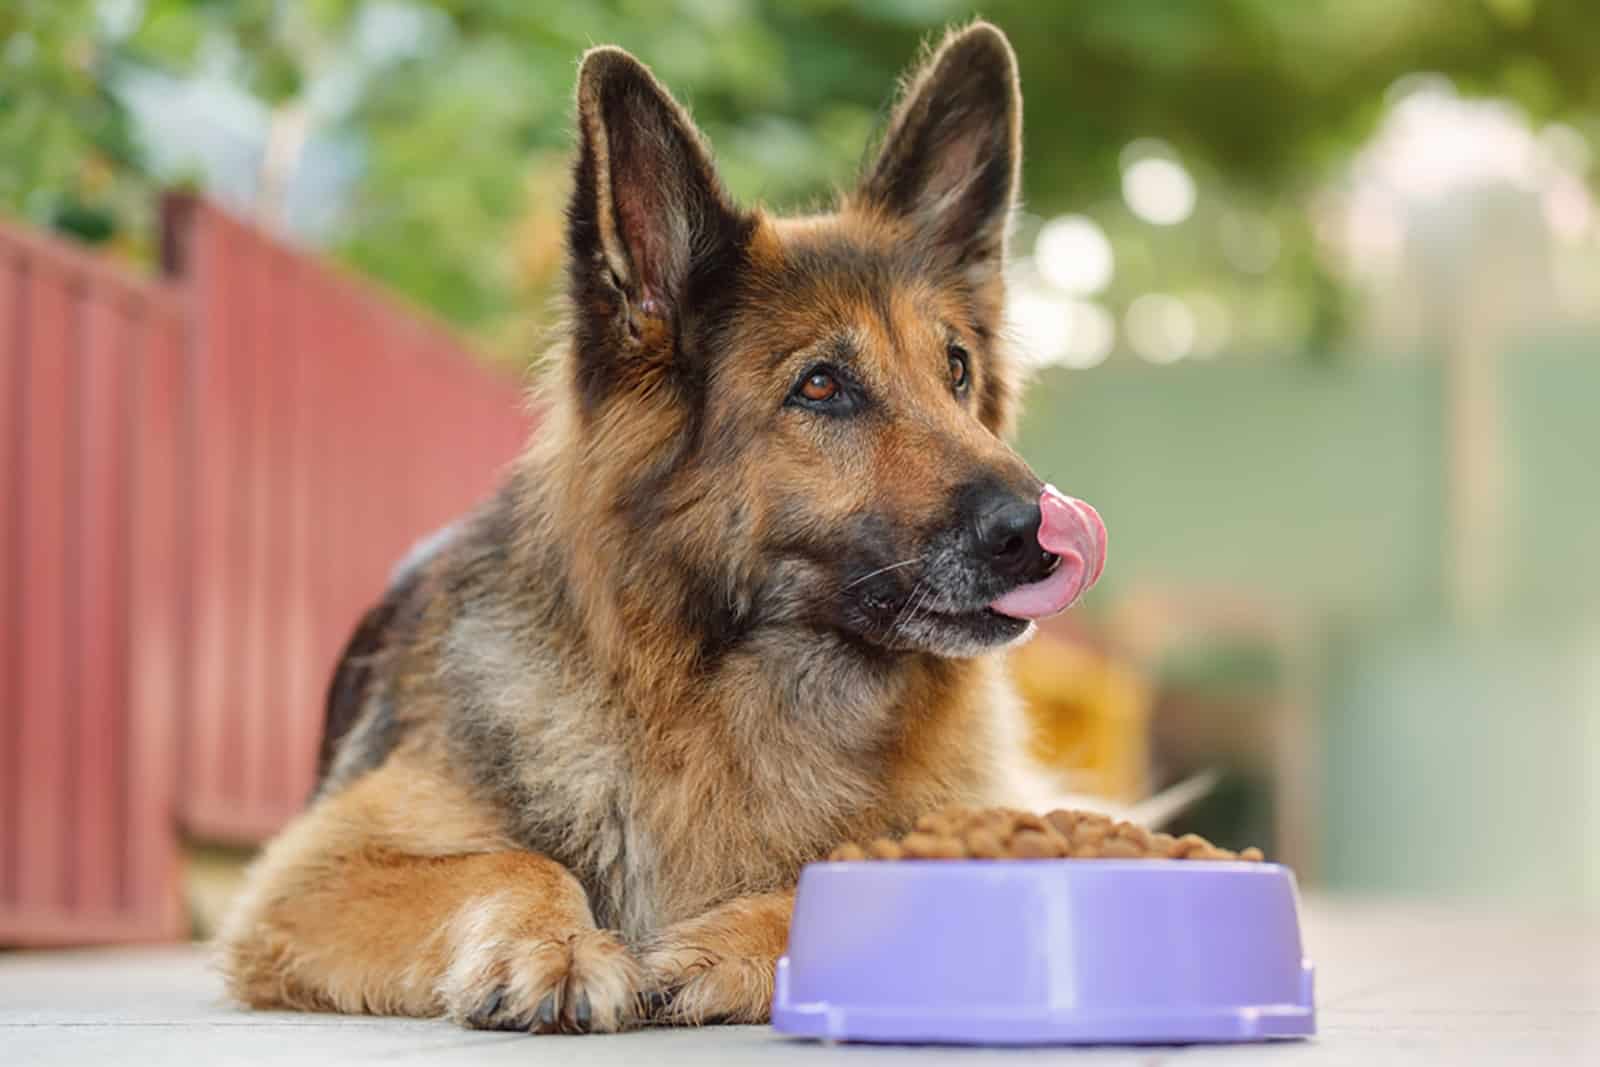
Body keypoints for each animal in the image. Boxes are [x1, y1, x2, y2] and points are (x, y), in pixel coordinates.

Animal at [219, 18, 1107, 1036]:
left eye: (956, 369)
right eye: (821, 386)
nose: (1044, 531)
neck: (731, 695)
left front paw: (722, 943)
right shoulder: (310, 871)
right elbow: (511, 858)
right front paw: (555, 945)